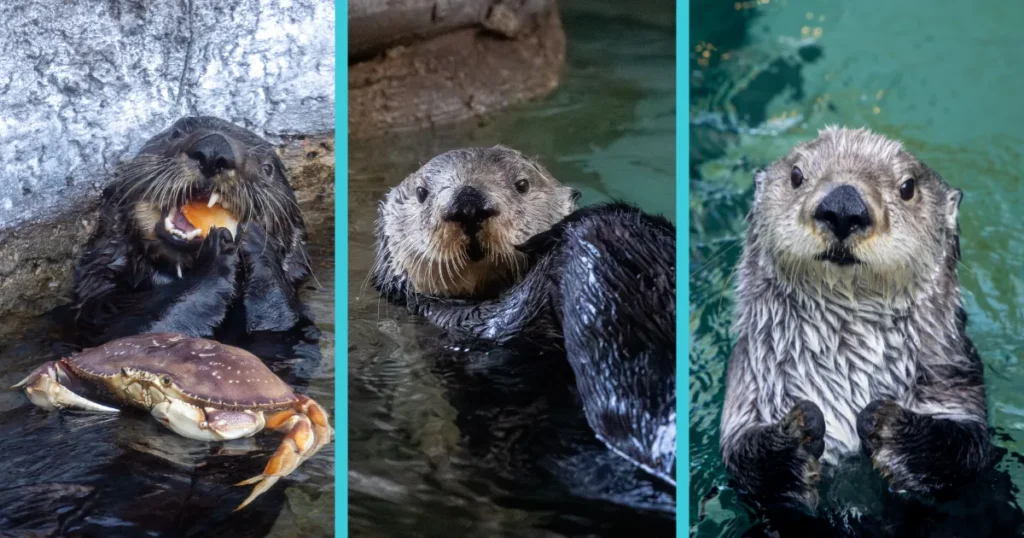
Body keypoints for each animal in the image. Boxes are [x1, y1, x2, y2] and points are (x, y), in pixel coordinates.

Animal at [70, 116, 313, 347]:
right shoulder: (100, 304)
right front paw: (217, 255)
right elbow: (132, 332)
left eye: (267, 168)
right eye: (175, 133)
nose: (215, 150)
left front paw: (254, 238)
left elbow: (276, 318)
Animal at [719, 126, 991, 513]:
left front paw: (884, 424)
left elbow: (965, 450)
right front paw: (800, 429)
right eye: (796, 175)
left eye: (908, 187)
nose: (843, 206)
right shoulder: (748, 382)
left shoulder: (954, 378)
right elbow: (745, 460)